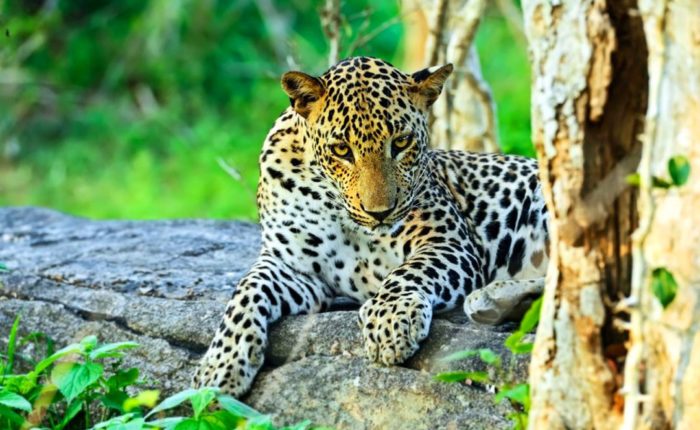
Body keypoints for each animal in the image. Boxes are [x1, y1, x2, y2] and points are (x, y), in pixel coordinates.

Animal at [194, 56, 548, 396]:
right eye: (341, 149)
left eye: (402, 143)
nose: (380, 212)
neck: (339, 210)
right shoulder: (293, 266)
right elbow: (246, 291)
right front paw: (219, 365)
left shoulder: (449, 241)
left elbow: (409, 271)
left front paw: (390, 321)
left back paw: (489, 299)